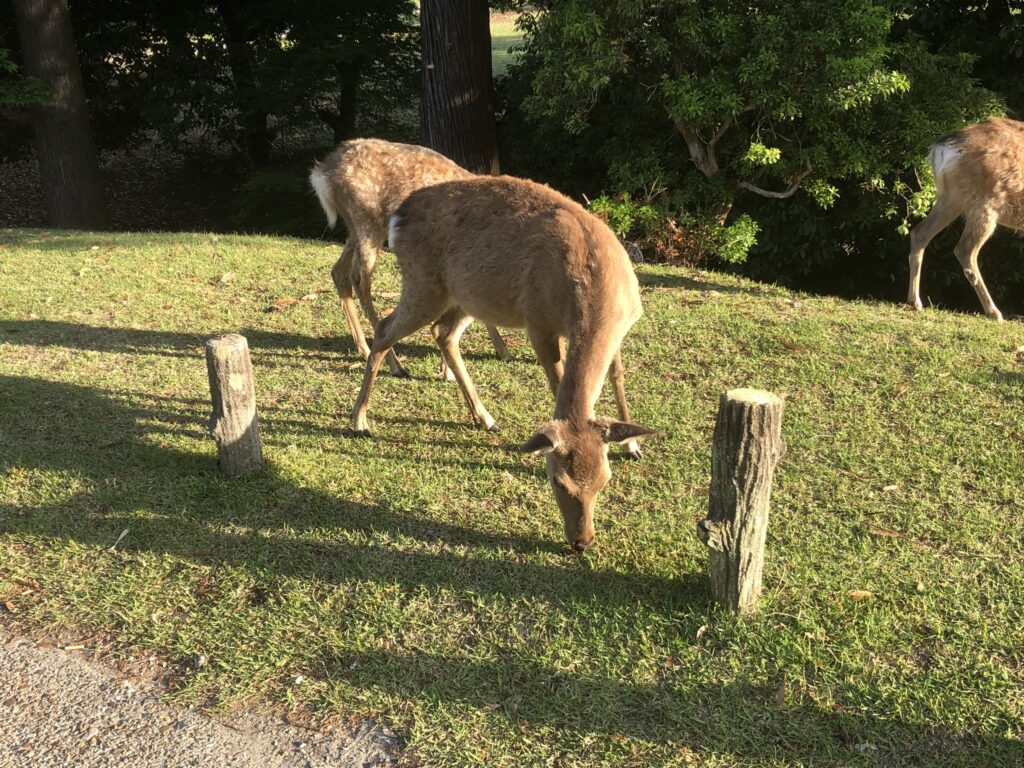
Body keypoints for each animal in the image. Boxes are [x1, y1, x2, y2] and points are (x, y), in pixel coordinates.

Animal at [309, 138, 511, 377]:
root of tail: (322, 173)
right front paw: (448, 370)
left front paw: (500, 352)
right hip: (366, 219)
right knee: (359, 280)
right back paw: (394, 364)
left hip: (355, 228)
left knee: (338, 271)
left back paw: (364, 350)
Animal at [345, 175, 658, 551]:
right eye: (557, 480)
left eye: (604, 480)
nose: (582, 542)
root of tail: (397, 217)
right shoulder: (538, 324)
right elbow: (557, 384)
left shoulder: (623, 330)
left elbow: (618, 376)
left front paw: (634, 445)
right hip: (424, 284)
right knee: (385, 329)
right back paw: (360, 421)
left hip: (465, 296)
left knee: (442, 334)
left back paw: (485, 418)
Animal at [907, 116, 1024, 322]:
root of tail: (943, 148)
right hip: (985, 203)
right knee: (964, 250)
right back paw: (994, 312)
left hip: (951, 197)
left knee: (919, 233)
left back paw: (915, 302)